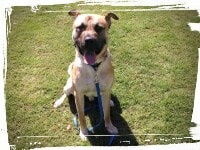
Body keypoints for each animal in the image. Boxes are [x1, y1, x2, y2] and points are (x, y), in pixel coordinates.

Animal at [53, 9, 119, 140]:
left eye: (99, 28)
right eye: (80, 27)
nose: (89, 41)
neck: (94, 68)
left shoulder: (106, 90)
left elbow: (107, 114)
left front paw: (110, 127)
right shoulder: (78, 95)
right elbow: (81, 116)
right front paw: (83, 132)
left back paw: (108, 101)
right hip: (69, 86)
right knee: (66, 93)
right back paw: (59, 101)